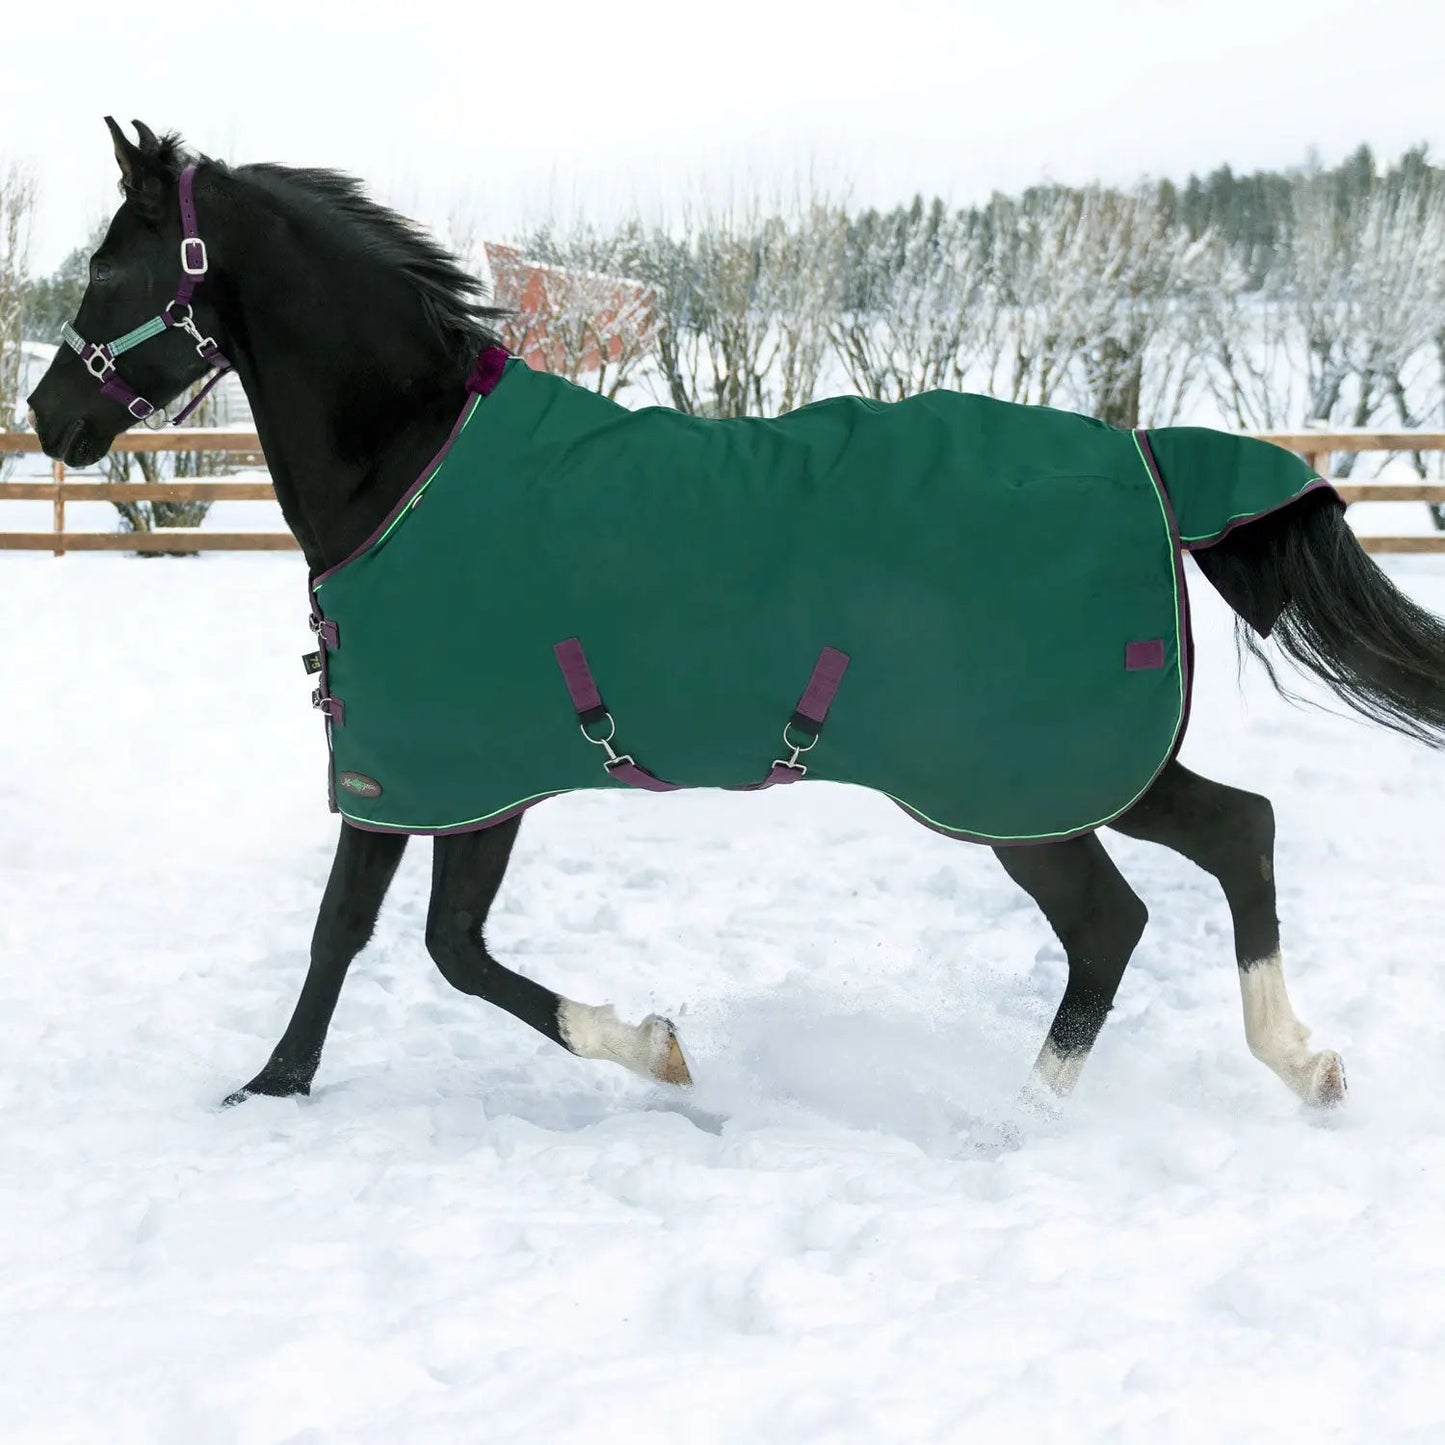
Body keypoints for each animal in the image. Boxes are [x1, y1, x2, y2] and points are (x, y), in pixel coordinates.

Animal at [26, 119, 1445, 1117]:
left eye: (108, 268)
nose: (49, 417)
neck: (413, 461)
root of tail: (1146, 455)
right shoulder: (468, 776)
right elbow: (425, 941)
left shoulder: (431, 773)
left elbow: (387, 939)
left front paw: (278, 1085)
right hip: (1081, 768)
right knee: (1234, 832)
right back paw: (1297, 1061)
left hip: (1012, 788)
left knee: (1115, 917)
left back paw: (1024, 1118)